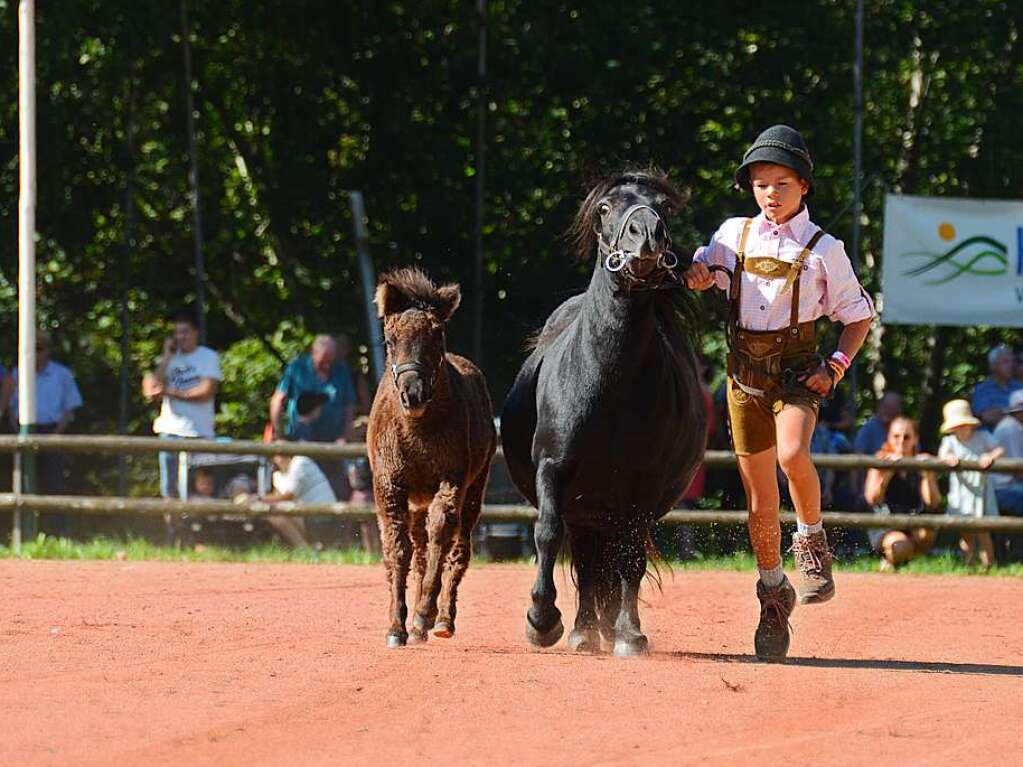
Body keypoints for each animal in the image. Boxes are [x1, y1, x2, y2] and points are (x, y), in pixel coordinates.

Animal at [499, 170, 707, 658]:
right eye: (607, 207)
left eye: (661, 208)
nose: (646, 234)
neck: (610, 382)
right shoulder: (553, 469)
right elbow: (547, 534)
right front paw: (542, 621)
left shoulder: (643, 484)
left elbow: (630, 557)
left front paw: (630, 634)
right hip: (585, 507)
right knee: (587, 559)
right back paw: (582, 629)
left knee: (610, 559)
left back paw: (604, 627)